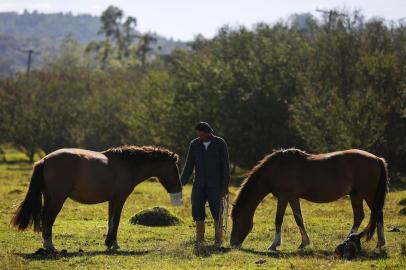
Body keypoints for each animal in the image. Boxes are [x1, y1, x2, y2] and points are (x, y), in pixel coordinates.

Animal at [11, 146, 182, 251]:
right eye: (174, 169)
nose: (179, 191)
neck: (127, 164)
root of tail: (45, 160)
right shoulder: (119, 199)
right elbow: (116, 220)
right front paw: (114, 244)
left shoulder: (112, 200)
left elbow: (110, 220)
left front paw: (109, 243)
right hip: (58, 199)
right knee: (48, 218)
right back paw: (50, 246)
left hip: (49, 197)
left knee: (45, 218)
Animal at [230, 149, 388, 252]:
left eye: (236, 219)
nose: (233, 244)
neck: (276, 169)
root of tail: (376, 158)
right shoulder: (292, 197)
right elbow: (298, 218)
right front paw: (304, 243)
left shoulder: (283, 196)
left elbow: (278, 219)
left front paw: (274, 245)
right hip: (356, 195)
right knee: (360, 216)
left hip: (368, 194)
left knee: (377, 213)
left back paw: (376, 243)